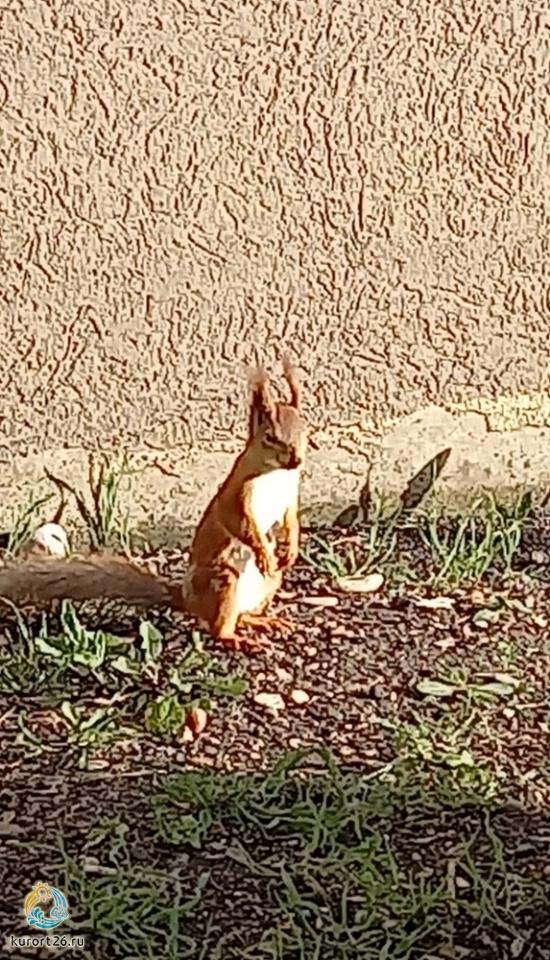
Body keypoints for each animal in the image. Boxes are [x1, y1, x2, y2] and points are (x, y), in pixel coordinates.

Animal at [0, 360, 307, 652]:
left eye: (304, 429)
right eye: (270, 437)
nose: (296, 460)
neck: (276, 473)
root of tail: (188, 600)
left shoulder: (290, 495)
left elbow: (291, 519)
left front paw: (291, 547)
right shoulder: (237, 495)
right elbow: (241, 523)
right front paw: (263, 551)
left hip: (270, 582)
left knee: (243, 614)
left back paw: (262, 618)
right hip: (223, 581)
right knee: (219, 626)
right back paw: (234, 637)